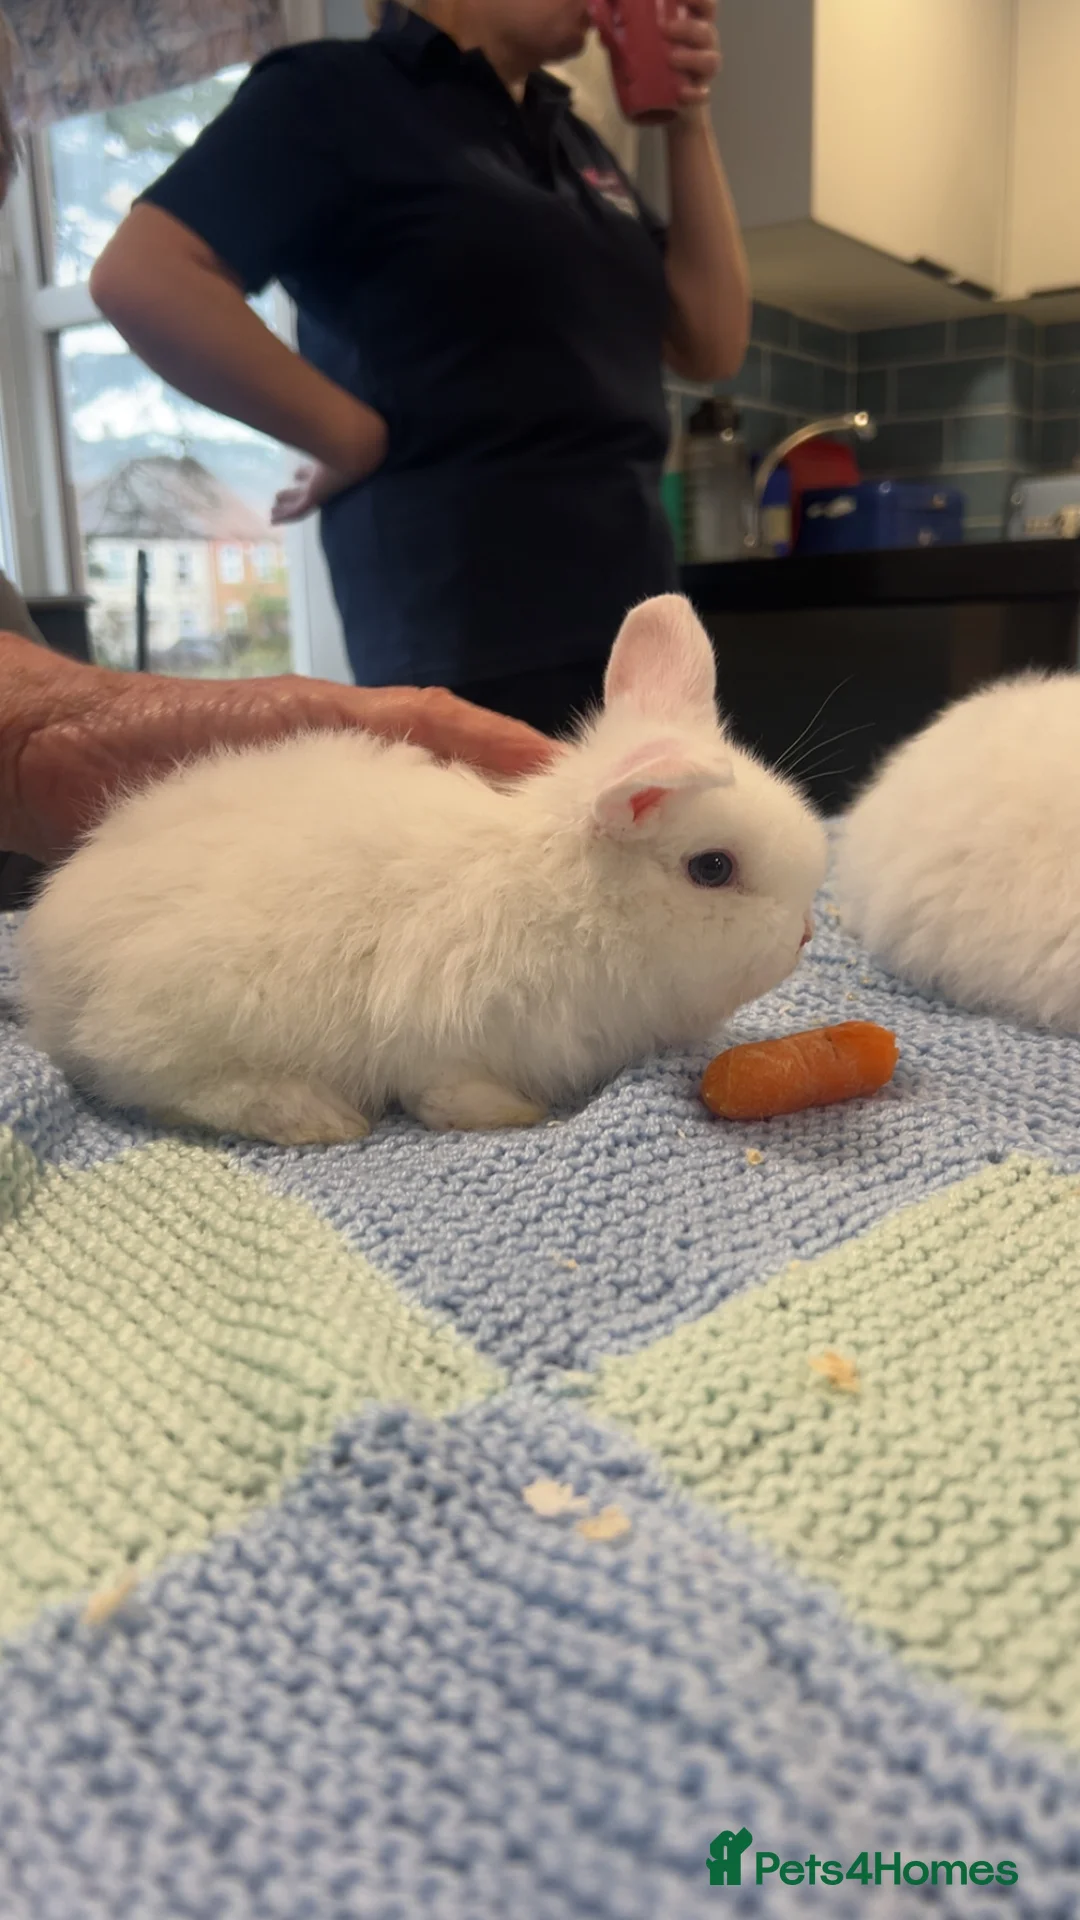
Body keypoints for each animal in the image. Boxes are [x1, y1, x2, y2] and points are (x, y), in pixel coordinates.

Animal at [19, 594, 827, 1146]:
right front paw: (515, 1114)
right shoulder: (449, 1038)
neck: (574, 903)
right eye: (713, 868)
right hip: (194, 1016)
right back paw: (318, 1117)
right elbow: (445, 1094)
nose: (804, 937)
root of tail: (53, 965)